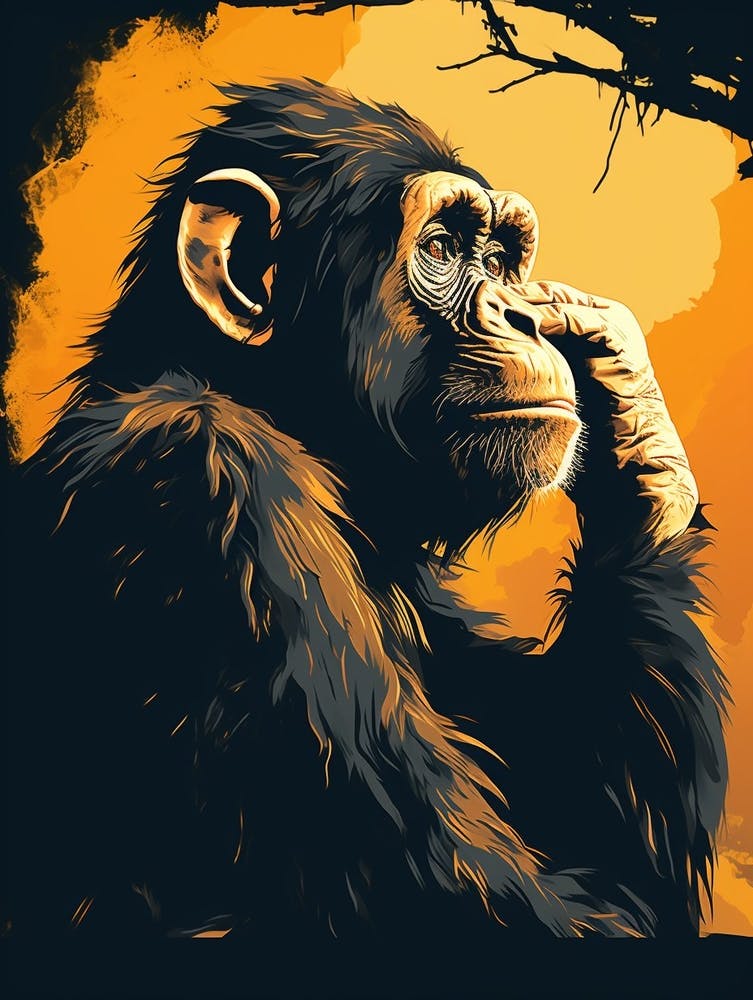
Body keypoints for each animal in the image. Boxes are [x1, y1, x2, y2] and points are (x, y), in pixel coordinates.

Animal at [5, 79, 727, 965]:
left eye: (500, 261)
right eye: (442, 248)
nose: (520, 316)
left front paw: (630, 407)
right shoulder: (213, 488)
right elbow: (504, 906)